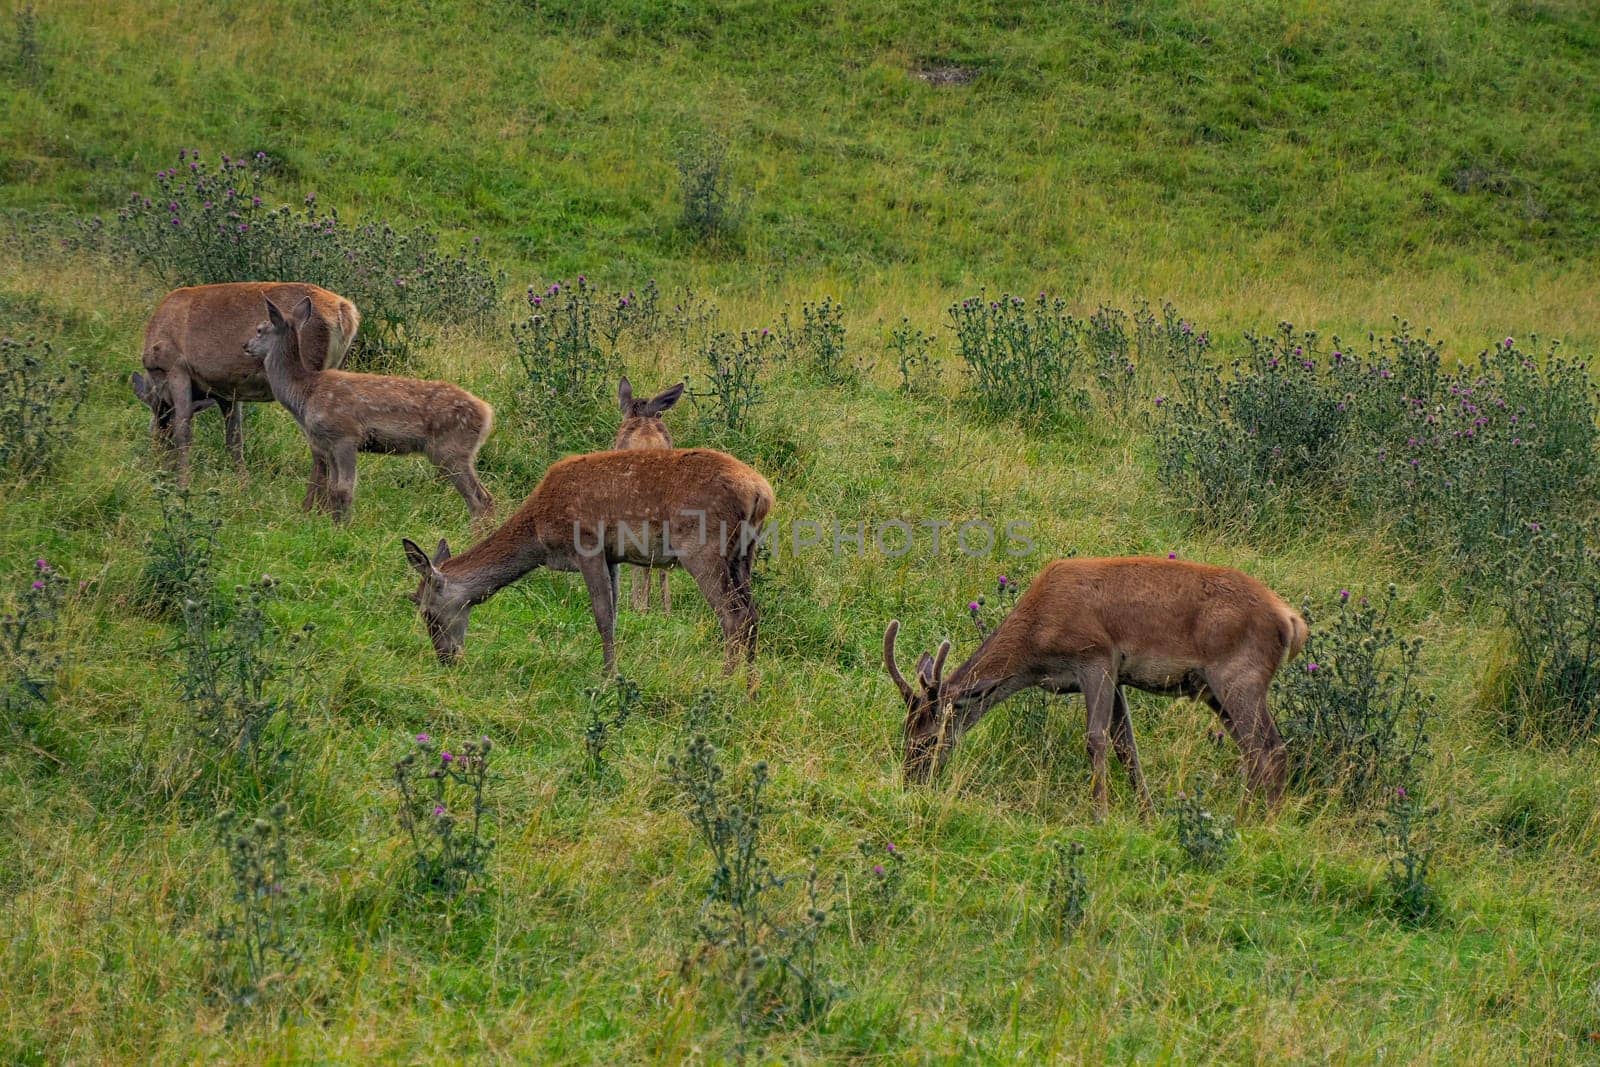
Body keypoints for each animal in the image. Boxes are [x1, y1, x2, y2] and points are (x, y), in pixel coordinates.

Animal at [132, 283, 360, 483]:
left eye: (150, 433)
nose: (154, 466)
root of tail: (347, 313)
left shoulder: (175, 367)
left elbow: (183, 434)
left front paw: (182, 483)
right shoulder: (226, 392)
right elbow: (234, 441)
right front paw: (243, 485)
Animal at [241, 295, 492, 521]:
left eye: (260, 329)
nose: (245, 346)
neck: (305, 393)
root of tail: (487, 414)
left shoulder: (345, 435)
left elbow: (344, 489)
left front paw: (343, 528)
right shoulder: (328, 444)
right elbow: (332, 489)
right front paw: (333, 524)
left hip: (451, 449)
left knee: (479, 499)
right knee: (484, 496)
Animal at [400, 447, 774, 675]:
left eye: (427, 612)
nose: (445, 658)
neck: (540, 534)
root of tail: (762, 493)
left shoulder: (589, 546)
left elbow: (602, 616)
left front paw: (608, 677)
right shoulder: (613, 556)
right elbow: (616, 612)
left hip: (702, 548)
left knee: (732, 615)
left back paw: (724, 681)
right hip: (744, 554)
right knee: (752, 613)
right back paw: (750, 688)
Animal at [883, 559, 1305, 819]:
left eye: (927, 739)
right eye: (904, 732)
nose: (911, 781)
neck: (1036, 645)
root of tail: (1291, 620)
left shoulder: (1096, 656)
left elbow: (1096, 738)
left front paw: (1099, 812)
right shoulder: (1117, 677)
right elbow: (1126, 746)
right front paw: (1148, 815)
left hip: (1239, 677)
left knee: (1270, 748)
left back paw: (1253, 820)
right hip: (1214, 691)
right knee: (1254, 750)